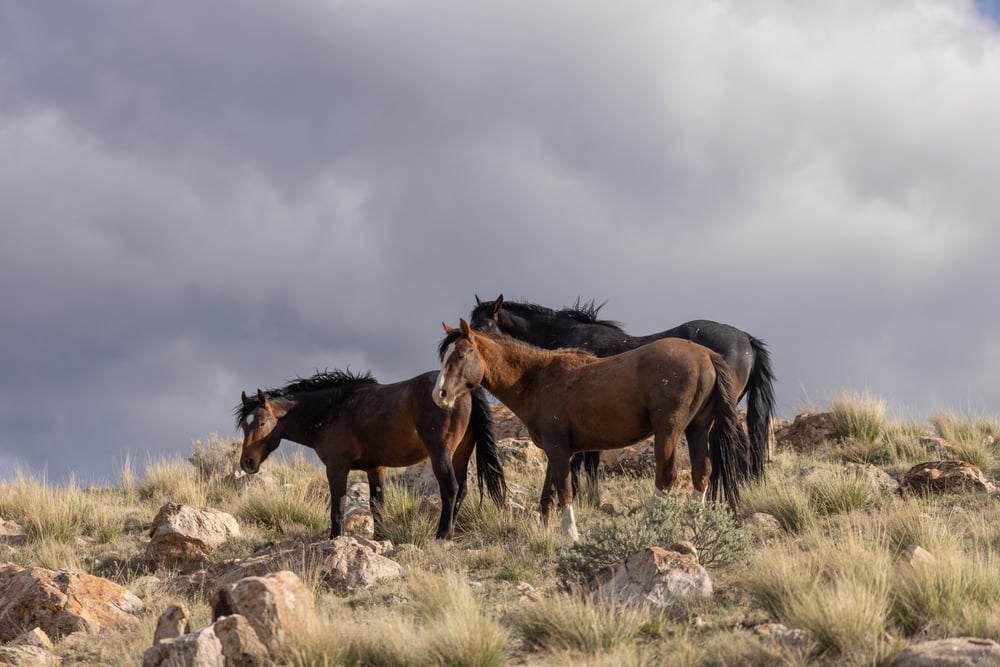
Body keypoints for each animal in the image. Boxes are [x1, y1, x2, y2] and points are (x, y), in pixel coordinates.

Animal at [236, 370, 508, 544]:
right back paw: (451, 530)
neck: (333, 410)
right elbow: (377, 505)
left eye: (260, 423)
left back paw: (442, 535)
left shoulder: (337, 468)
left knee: (450, 488)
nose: (247, 463)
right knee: (461, 489)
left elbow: (337, 506)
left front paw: (335, 539)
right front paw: (380, 538)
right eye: (244, 426)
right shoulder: (376, 468)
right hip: (461, 453)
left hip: (441, 453)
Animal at [434, 320, 752, 544]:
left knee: (666, 476)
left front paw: (570, 535)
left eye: (461, 356)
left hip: (669, 430)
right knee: (702, 471)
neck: (537, 377)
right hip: (697, 428)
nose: (441, 395)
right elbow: (548, 494)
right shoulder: (556, 451)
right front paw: (545, 532)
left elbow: (563, 490)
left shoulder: (558, 449)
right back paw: (695, 524)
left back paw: (649, 524)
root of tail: (707, 354)